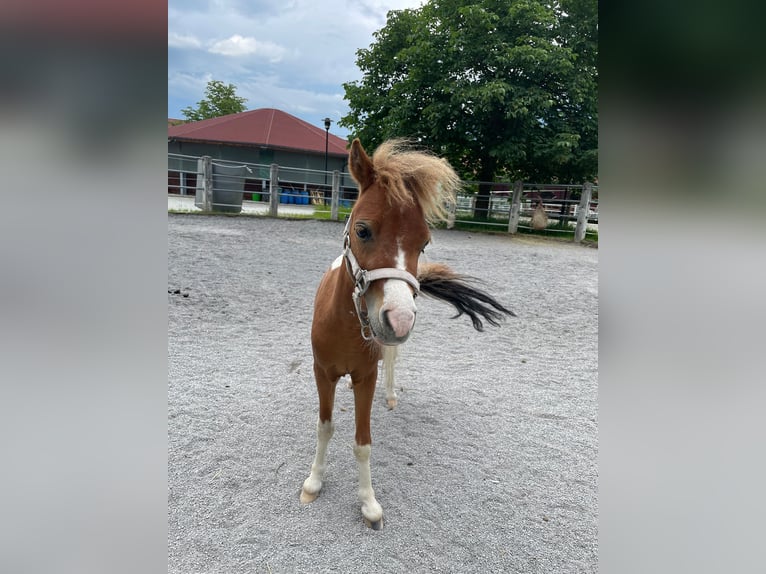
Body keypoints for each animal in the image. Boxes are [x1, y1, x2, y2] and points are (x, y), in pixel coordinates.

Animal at [302, 140, 516, 532]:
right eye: (363, 230)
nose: (399, 319)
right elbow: (325, 427)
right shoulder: (322, 372)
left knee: (391, 360)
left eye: (425, 243)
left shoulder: (366, 376)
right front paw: (313, 483)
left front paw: (369, 504)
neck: (344, 326)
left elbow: (363, 442)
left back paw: (390, 396)